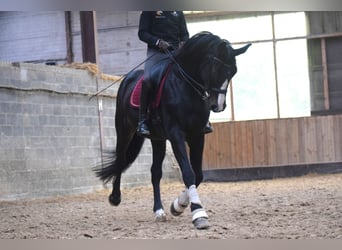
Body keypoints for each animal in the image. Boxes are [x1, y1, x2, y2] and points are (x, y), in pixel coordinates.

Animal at [95, 32, 250, 229]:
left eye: (233, 72)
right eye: (216, 67)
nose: (218, 106)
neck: (186, 87)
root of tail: (129, 78)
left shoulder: (197, 135)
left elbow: (198, 174)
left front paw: (178, 206)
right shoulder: (177, 135)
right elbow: (188, 173)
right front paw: (198, 214)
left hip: (158, 139)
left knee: (155, 172)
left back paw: (159, 211)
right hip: (124, 130)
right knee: (121, 159)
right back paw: (115, 197)